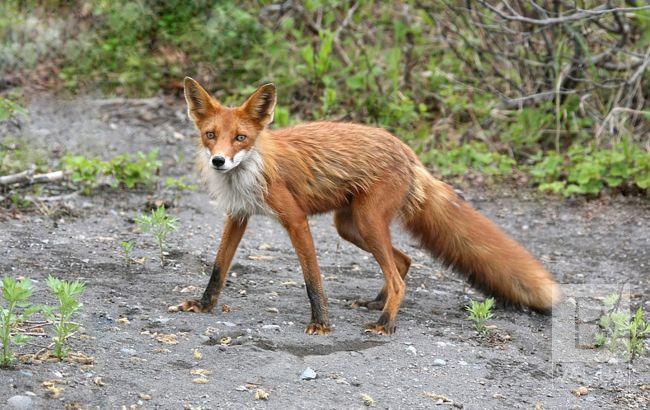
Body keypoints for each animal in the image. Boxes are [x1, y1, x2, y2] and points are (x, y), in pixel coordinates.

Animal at [170, 78, 560, 334]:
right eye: (210, 135)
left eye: (241, 138)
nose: (219, 161)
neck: (251, 169)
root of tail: (408, 153)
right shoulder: (238, 215)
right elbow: (218, 268)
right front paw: (204, 305)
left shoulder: (295, 219)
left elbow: (313, 279)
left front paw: (321, 324)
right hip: (351, 225)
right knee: (403, 261)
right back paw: (377, 303)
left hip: (368, 221)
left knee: (398, 276)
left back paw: (385, 323)